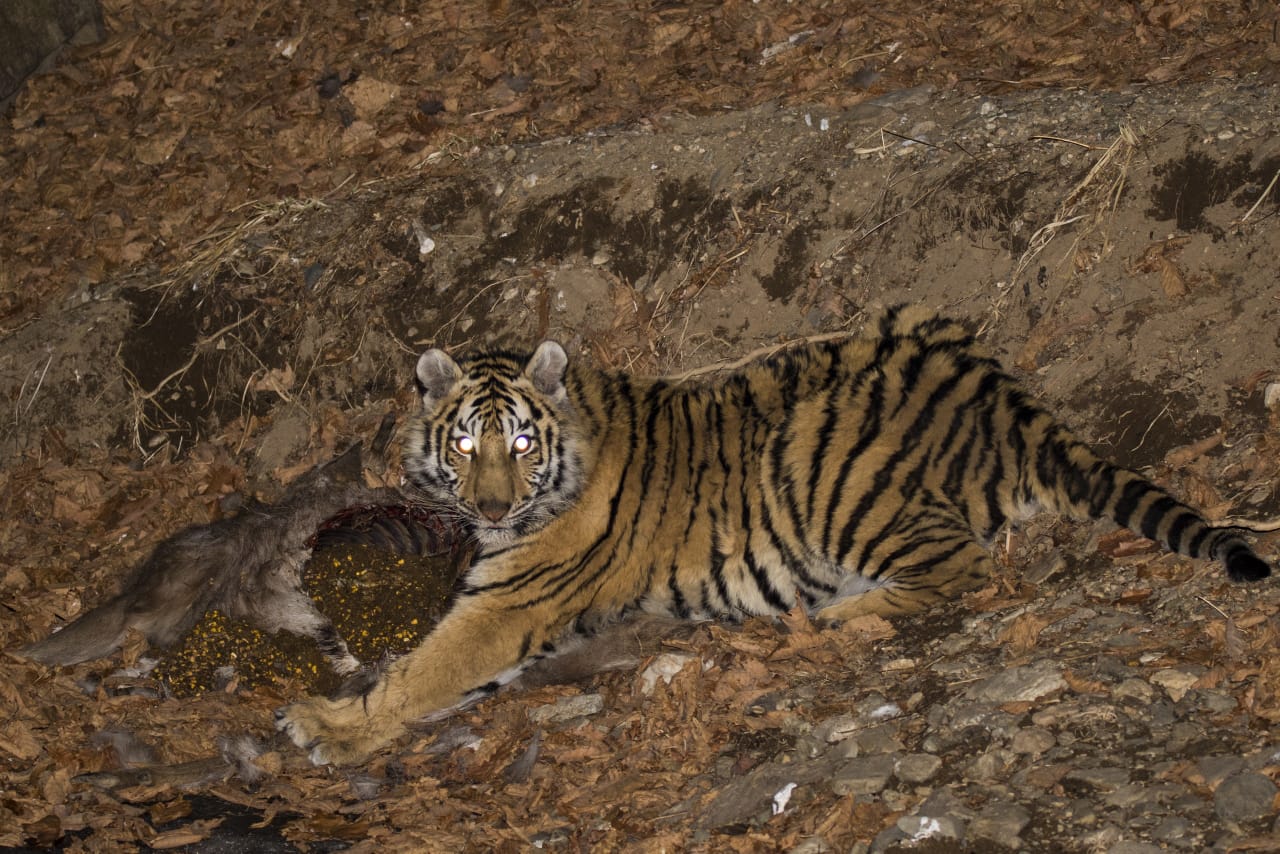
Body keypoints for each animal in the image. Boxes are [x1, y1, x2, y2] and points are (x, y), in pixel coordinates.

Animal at [277, 303, 1269, 763]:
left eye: (521, 443)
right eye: (465, 444)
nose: (487, 510)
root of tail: (999, 391)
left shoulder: (504, 605)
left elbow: (419, 671)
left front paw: (321, 725)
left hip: (825, 464)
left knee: (963, 565)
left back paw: (839, 615)